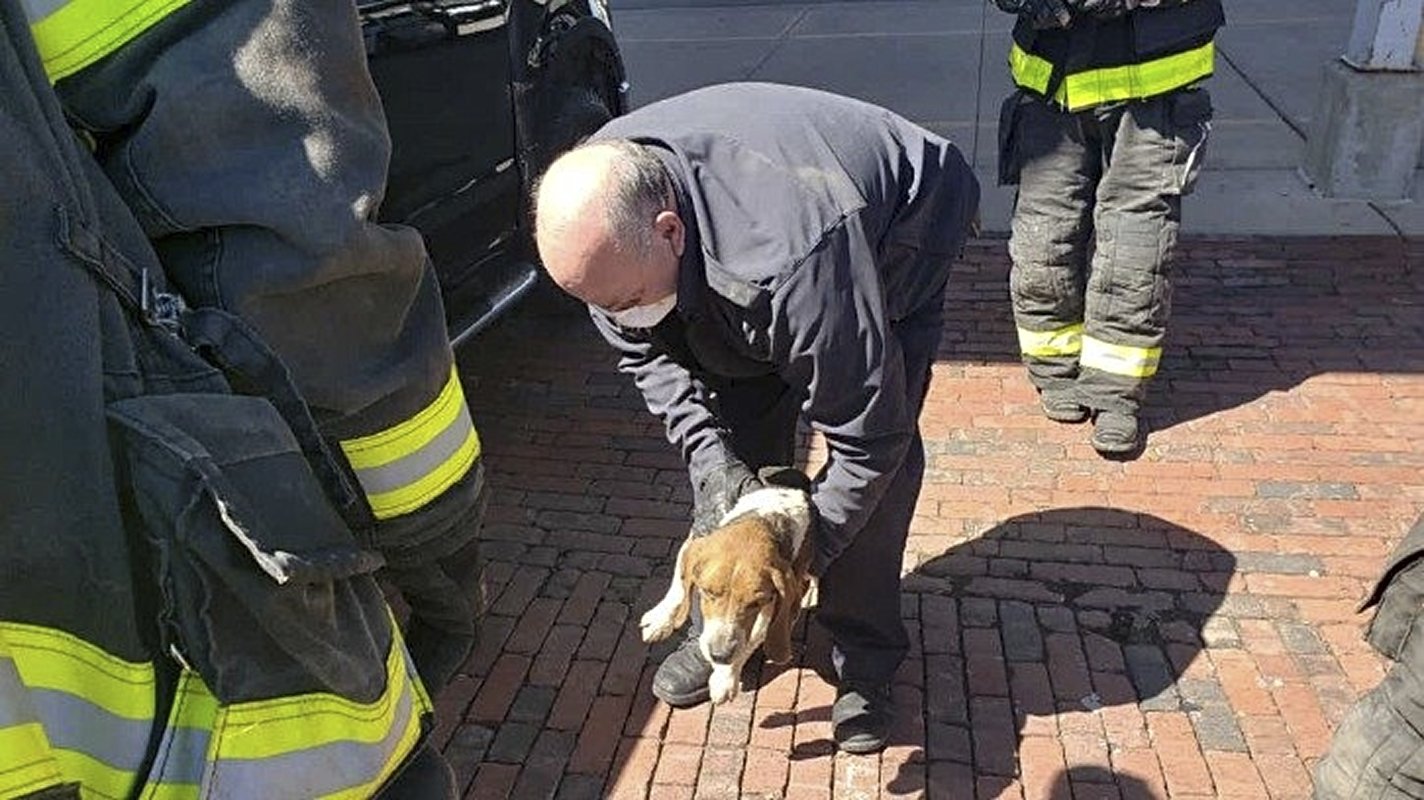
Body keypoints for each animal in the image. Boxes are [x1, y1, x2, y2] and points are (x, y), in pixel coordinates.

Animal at [643, 478, 814, 697]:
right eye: (707, 592)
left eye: (756, 602)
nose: (720, 655)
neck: (766, 518)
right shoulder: (695, 540)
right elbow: (679, 585)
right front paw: (660, 620)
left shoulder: (777, 602)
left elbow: (752, 637)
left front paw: (725, 677)